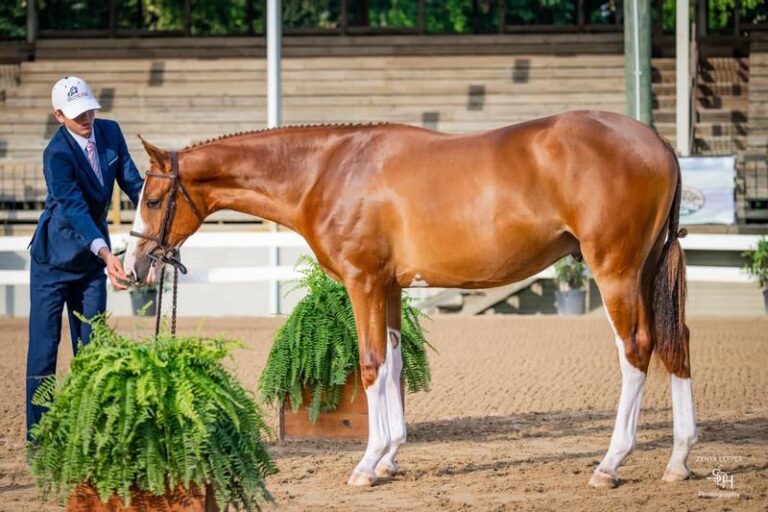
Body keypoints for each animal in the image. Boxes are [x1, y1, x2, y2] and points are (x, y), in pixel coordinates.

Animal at [124, 111, 696, 488]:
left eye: (153, 199)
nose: (134, 266)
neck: (328, 171)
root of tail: (656, 142)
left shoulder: (363, 282)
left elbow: (371, 365)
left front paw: (366, 464)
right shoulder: (391, 287)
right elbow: (394, 364)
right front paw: (390, 456)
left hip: (614, 270)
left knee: (636, 350)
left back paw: (611, 464)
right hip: (646, 270)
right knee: (677, 344)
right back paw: (679, 460)